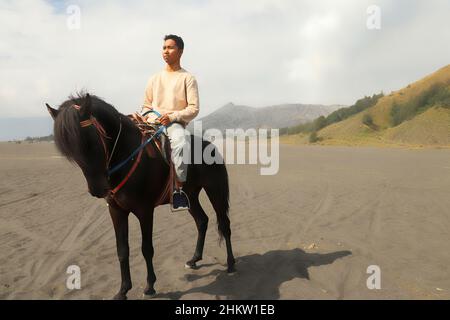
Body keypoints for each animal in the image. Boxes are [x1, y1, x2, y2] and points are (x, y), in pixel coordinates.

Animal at [45, 92, 236, 300]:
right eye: (70, 151)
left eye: (90, 140)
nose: (98, 189)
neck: (125, 155)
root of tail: (211, 146)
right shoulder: (116, 211)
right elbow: (122, 250)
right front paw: (123, 290)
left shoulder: (145, 211)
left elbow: (146, 248)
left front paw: (150, 286)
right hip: (190, 196)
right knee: (202, 221)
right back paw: (194, 259)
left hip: (215, 190)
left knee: (224, 225)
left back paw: (231, 264)